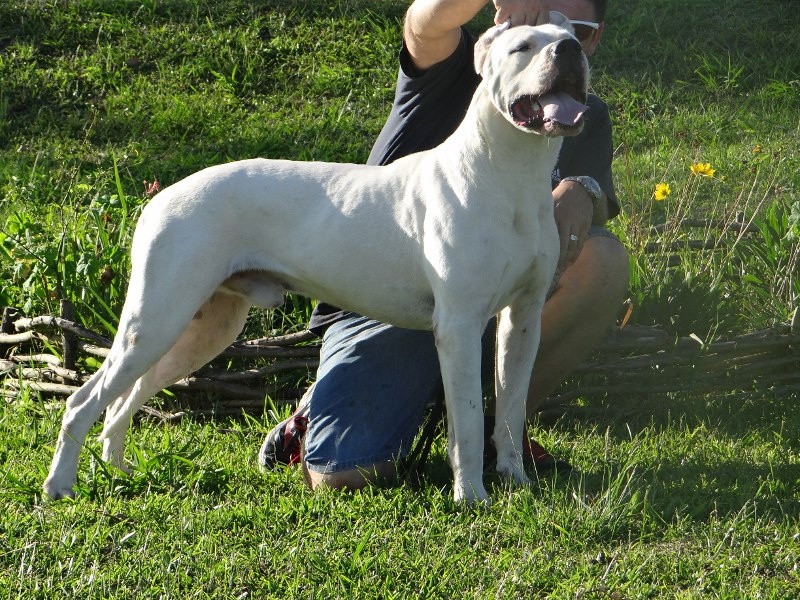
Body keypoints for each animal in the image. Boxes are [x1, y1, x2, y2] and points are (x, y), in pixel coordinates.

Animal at [45, 17, 588, 502]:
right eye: (522, 47)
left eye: (572, 38)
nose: (570, 52)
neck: (509, 174)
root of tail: (160, 198)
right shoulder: (459, 325)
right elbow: (470, 421)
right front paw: (471, 496)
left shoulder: (521, 320)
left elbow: (511, 408)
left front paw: (516, 481)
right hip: (156, 321)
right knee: (84, 399)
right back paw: (61, 487)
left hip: (201, 330)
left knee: (126, 398)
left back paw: (118, 471)